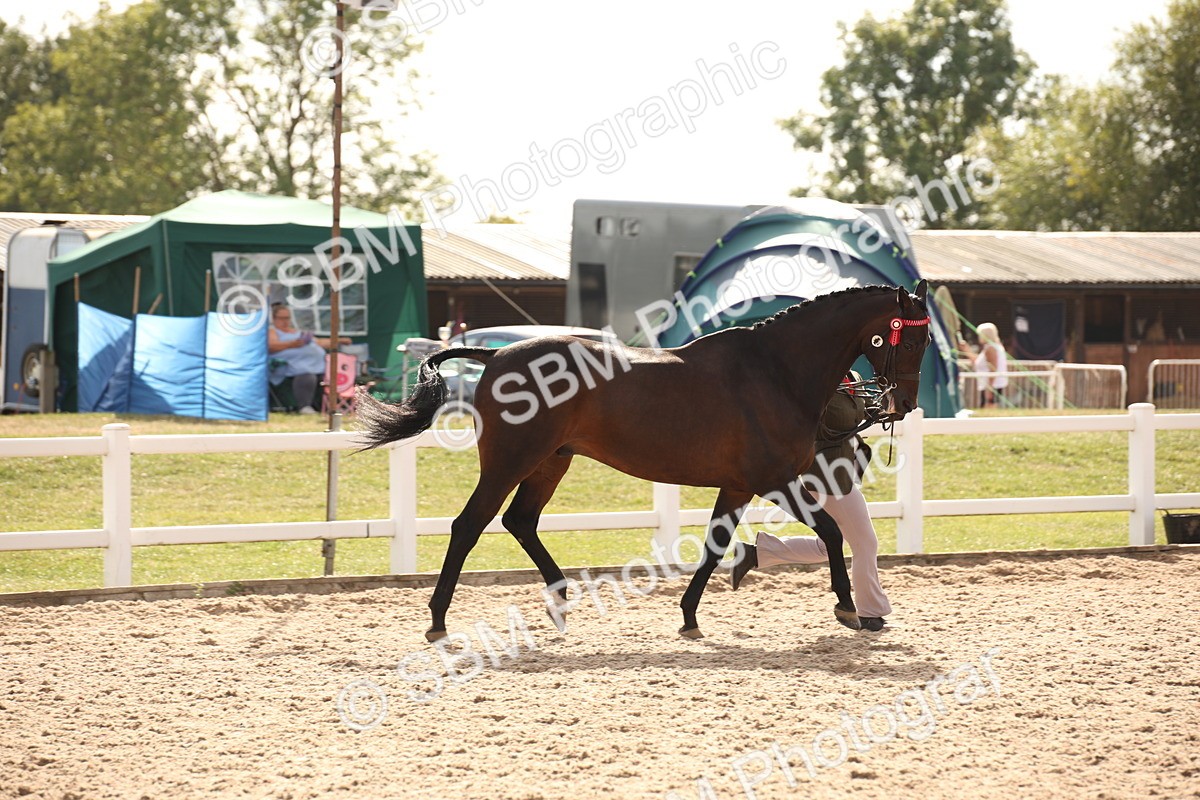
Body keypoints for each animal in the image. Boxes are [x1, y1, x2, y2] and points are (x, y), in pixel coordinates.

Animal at [357, 281, 932, 640]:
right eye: (910, 338)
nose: (903, 403)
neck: (774, 370)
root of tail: (494, 354)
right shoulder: (775, 480)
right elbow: (831, 533)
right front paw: (847, 607)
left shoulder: (739, 486)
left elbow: (715, 545)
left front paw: (689, 616)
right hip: (510, 461)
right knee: (469, 524)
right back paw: (438, 620)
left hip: (550, 462)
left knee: (520, 521)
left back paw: (560, 602)